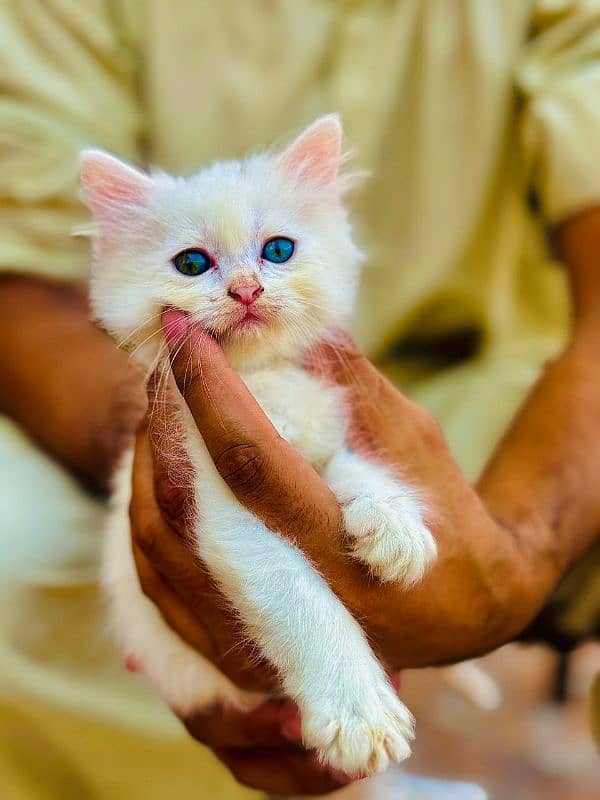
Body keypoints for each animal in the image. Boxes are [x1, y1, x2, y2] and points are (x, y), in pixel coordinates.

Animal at [81, 115, 436, 780]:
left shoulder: (321, 441)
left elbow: (355, 469)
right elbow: (299, 598)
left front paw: (396, 526)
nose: (246, 290)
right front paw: (357, 711)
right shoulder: (221, 505)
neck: (261, 384)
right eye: (193, 263)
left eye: (277, 251)